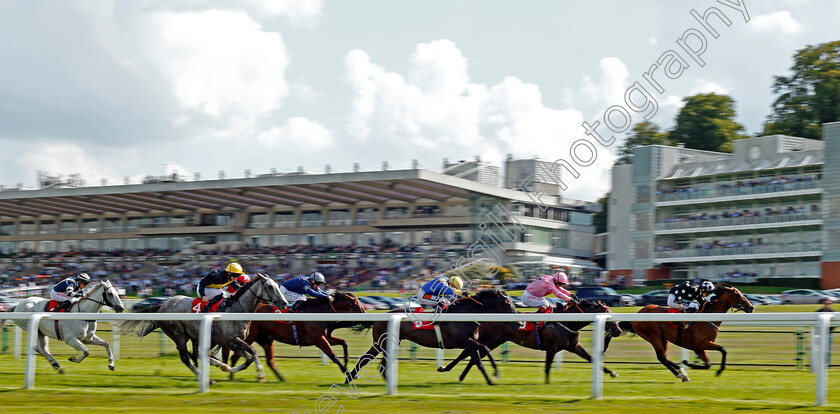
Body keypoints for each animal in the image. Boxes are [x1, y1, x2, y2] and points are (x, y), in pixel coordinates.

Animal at [116, 274, 288, 384]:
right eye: (270, 286)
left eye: (277, 285)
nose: (285, 303)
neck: (237, 308)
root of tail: (162, 306)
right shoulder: (229, 340)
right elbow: (252, 352)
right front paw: (260, 375)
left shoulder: (233, 341)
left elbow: (248, 358)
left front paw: (229, 368)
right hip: (178, 334)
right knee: (186, 358)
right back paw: (206, 378)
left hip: (194, 336)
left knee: (197, 354)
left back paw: (214, 369)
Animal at [223, 292, 364, 382]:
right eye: (356, 304)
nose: (365, 315)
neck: (318, 312)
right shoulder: (318, 339)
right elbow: (333, 355)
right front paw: (348, 374)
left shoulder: (324, 337)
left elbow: (344, 342)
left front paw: (350, 367)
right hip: (250, 337)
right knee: (235, 356)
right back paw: (232, 377)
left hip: (266, 339)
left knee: (269, 361)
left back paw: (281, 379)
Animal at [344, 290, 516, 384]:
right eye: (508, 303)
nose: (517, 323)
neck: (466, 313)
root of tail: (379, 318)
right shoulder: (463, 341)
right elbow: (485, 348)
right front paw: (496, 372)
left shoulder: (470, 342)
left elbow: (478, 361)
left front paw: (490, 381)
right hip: (383, 343)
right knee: (369, 361)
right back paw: (351, 378)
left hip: (384, 344)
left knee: (372, 362)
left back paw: (352, 379)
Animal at [436, 300, 620, 384]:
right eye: (607, 314)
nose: (618, 330)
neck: (568, 322)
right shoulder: (552, 347)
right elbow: (547, 367)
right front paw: (547, 384)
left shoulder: (574, 346)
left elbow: (592, 359)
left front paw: (612, 372)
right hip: (490, 339)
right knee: (468, 353)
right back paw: (447, 369)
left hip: (495, 341)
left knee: (474, 355)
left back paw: (460, 376)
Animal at [612, 284, 756, 382]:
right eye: (738, 295)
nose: (751, 307)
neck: (706, 318)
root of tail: (638, 313)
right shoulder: (701, 344)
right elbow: (722, 351)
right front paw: (713, 370)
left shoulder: (700, 347)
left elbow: (709, 363)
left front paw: (688, 364)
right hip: (653, 336)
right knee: (662, 357)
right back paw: (681, 373)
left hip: (663, 338)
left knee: (663, 357)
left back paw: (681, 372)